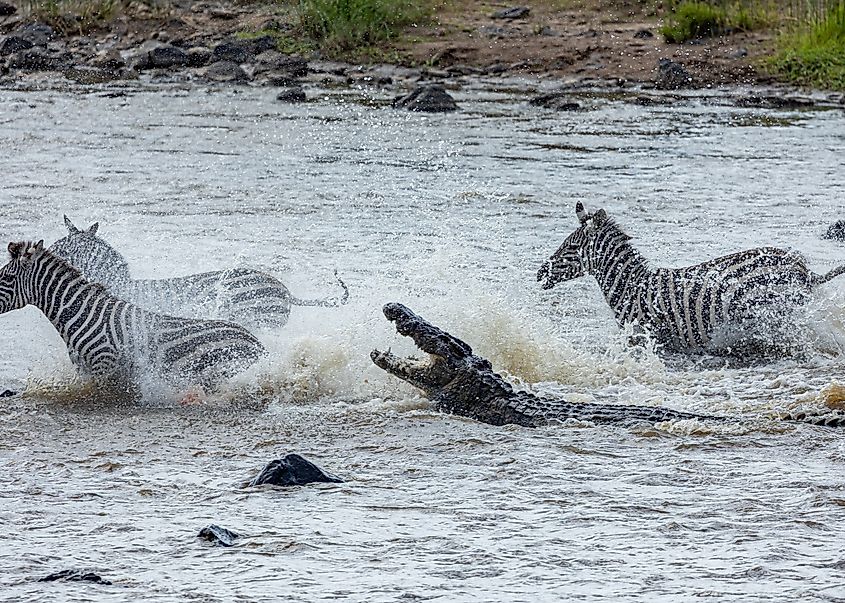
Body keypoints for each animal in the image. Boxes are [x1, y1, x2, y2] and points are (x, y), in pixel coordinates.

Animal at [537, 202, 845, 354]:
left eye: (571, 247)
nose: (540, 273)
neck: (630, 285)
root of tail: (802, 267)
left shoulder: (646, 336)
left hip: (776, 316)